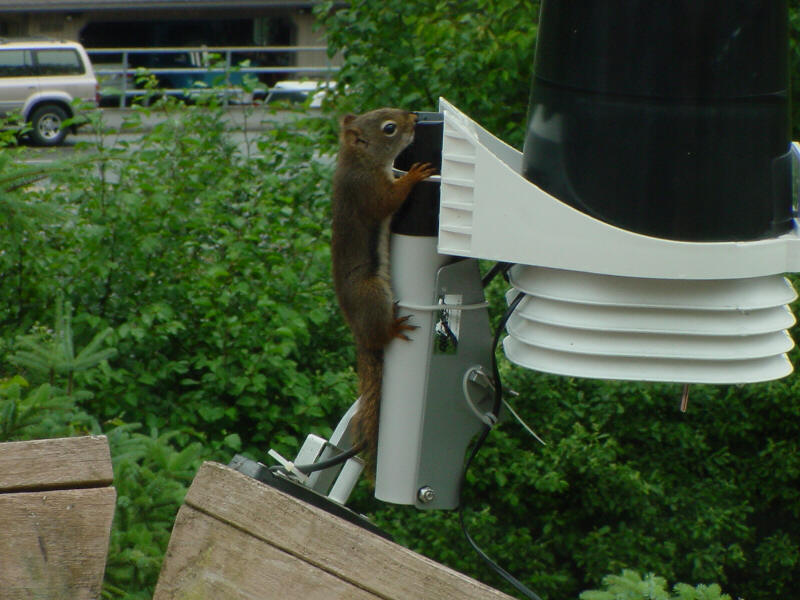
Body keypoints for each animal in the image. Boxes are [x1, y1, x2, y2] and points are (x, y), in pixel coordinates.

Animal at [332, 110, 438, 472]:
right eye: (389, 128)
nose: (414, 118)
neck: (359, 161)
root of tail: (357, 331)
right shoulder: (368, 192)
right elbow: (387, 201)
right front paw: (414, 175)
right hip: (373, 291)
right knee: (381, 333)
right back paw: (392, 328)